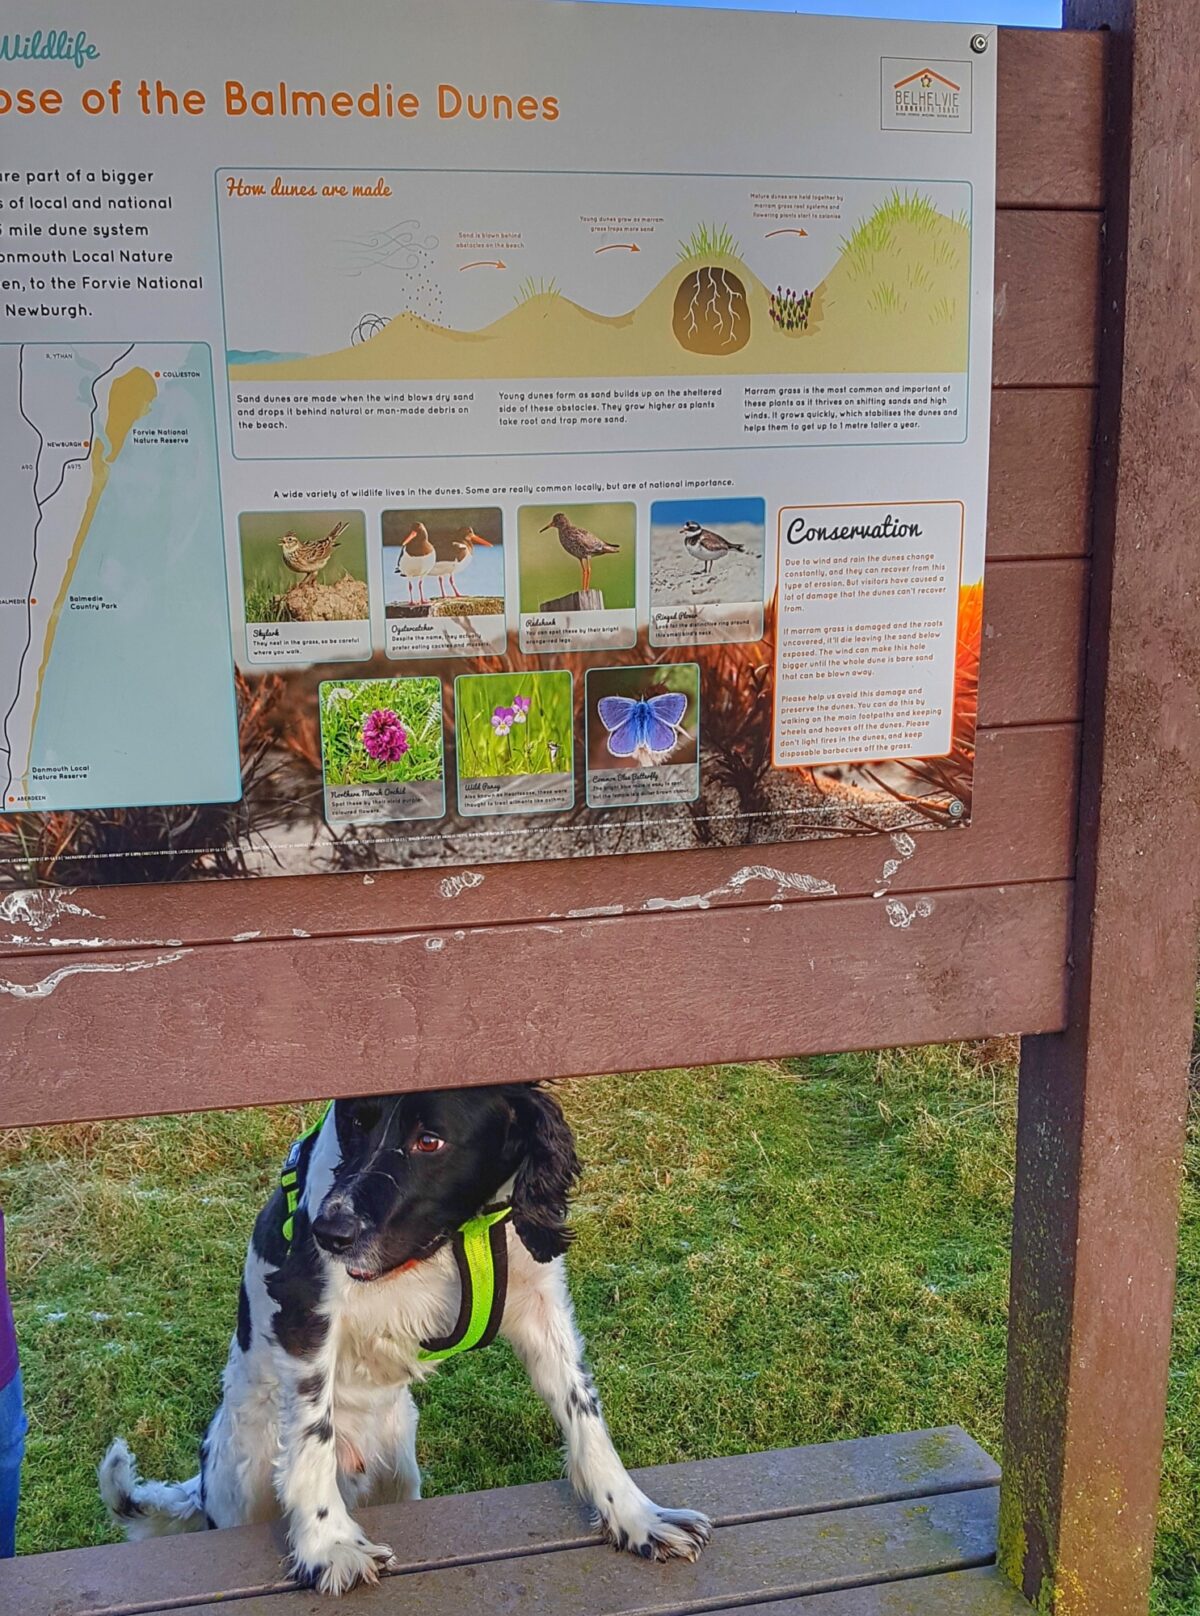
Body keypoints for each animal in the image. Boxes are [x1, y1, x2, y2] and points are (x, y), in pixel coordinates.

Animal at [100, 1085, 713, 1590]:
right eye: (355, 1121)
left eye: (429, 1140)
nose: (329, 1232)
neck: (453, 1235)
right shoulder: (306, 1308)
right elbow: (311, 1434)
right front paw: (328, 1546)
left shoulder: (540, 1303)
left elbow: (583, 1412)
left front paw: (635, 1516)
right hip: (243, 1483)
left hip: (398, 1473)